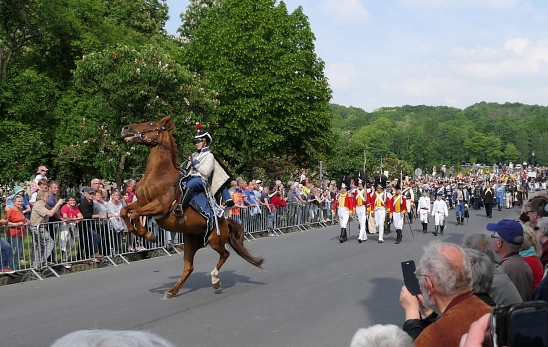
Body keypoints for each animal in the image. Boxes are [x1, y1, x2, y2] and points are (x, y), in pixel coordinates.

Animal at [120, 116, 266, 300]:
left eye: (152, 124)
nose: (126, 128)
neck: (158, 174)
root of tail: (225, 221)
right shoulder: (141, 202)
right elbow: (124, 211)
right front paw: (140, 232)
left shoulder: (159, 206)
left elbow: (134, 214)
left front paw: (148, 235)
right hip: (191, 242)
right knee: (189, 267)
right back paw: (172, 291)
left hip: (215, 240)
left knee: (225, 254)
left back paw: (215, 280)